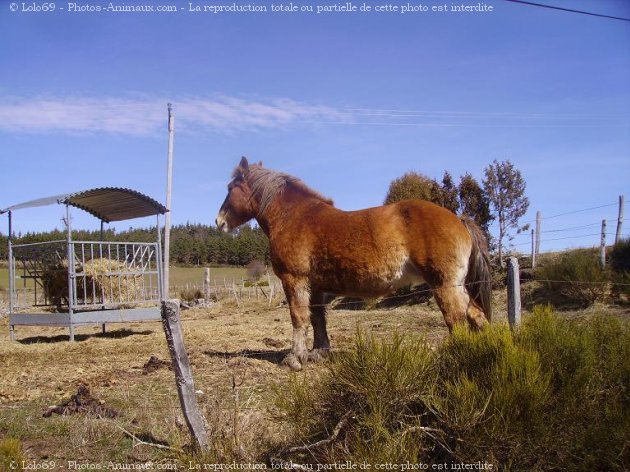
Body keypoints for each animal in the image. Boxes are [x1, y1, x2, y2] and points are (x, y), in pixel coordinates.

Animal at [217, 157, 494, 370]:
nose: (219, 221)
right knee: (476, 314)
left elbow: (299, 317)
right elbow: (317, 318)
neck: (294, 217)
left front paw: (295, 358)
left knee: (457, 319)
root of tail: (458, 220)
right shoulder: (315, 286)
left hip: (445, 286)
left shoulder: (294, 280)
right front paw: (318, 352)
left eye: (231, 187)